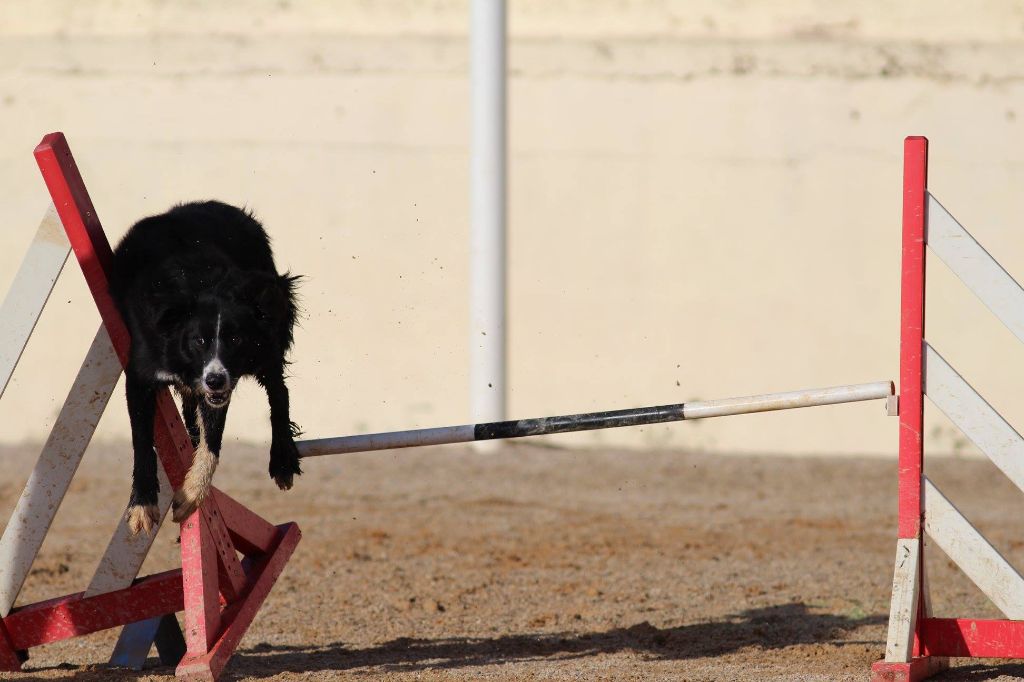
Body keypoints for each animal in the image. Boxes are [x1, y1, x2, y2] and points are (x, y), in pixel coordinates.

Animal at [113, 199, 303, 532]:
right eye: (198, 340)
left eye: (236, 339)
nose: (215, 380)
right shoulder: (140, 374)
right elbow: (142, 440)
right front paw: (142, 505)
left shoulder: (221, 385)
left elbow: (212, 442)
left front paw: (191, 494)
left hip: (267, 340)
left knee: (279, 391)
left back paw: (282, 459)